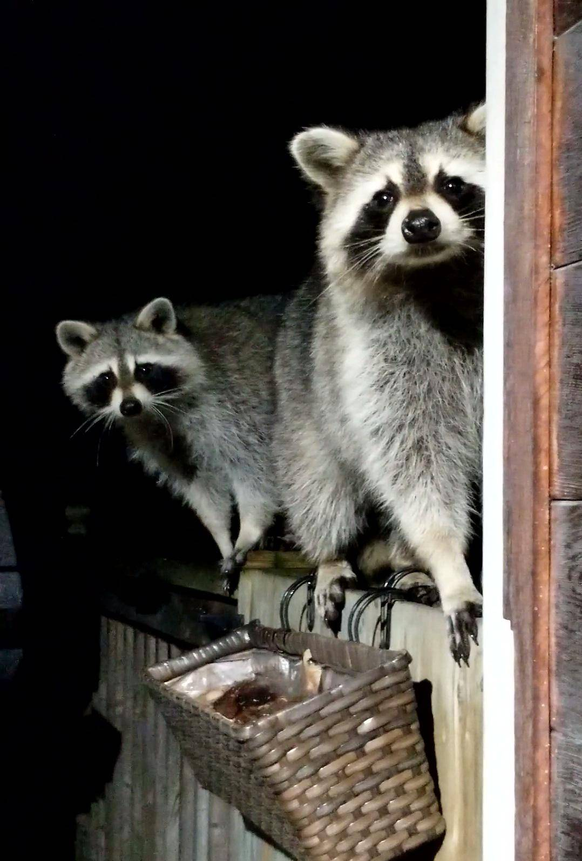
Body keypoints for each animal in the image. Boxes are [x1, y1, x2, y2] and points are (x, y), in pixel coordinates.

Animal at [56, 296, 286, 592]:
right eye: (106, 377)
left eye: (144, 369)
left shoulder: (239, 405)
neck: (160, 408)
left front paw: (249, 531)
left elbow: (255, 467)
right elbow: (199, 485)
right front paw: (221, 536)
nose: (129, 406)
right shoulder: (157, 435)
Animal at [278, 102, 488, 664]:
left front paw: (438, 564)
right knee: (320, 484)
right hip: (304, 406)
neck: (435, 275)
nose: (420, 224)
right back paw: (331, 554)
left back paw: (408, 566)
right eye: (385, 197)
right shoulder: (380, 364)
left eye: (452, 184)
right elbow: (416, 465)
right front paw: (449, 562)